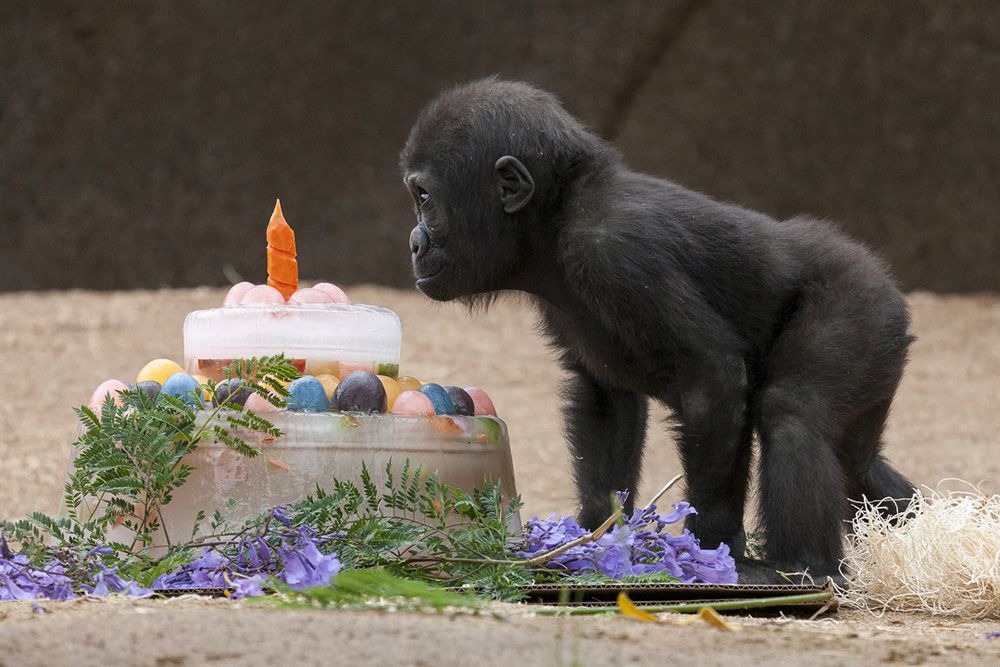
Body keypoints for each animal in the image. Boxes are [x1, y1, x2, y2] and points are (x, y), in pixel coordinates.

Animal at [398, 78, 916, 580]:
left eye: (424, 197)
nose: (414, 243)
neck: (557, 218)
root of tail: (886, 282)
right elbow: (606, 401)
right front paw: (593, 537)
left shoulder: (618, 252)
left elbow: (712, 376)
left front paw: (713, 544)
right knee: (856, 460)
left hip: (862, 303)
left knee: (794, 411)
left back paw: (803, 566)